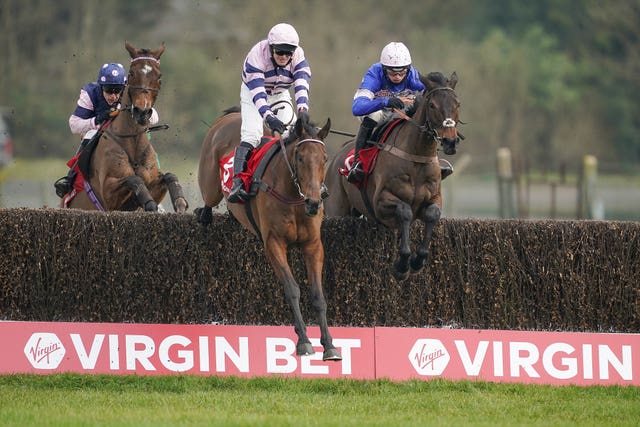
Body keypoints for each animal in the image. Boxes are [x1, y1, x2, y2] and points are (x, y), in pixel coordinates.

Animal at [60, 41, 188, 212]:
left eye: (159, 76)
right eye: (132, 73)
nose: (142, 112)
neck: (131, 141)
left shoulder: (151, 186)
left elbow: (169, 175)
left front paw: (180, 202)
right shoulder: (108, 196)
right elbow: (133, 179)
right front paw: (149, 203)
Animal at [196, 108, 342, 362]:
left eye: (324, 158)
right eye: (300, 157)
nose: (314, 201)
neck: (293, 195)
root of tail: (229, 117)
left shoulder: (313, 245)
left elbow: (318, 295)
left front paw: (329, 345)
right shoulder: (274, 243)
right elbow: (292, 289)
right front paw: (304, 341)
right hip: (211, 186)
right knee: (208, 201)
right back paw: (205, 213)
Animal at [324, 72, 460, 282]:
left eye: (457, 104)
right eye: (432, 105)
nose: (450, 141)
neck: (415, 157)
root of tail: (337, 155)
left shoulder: (434, 197)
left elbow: (432, 214)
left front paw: (418, 261)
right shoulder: (381, 202)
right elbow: (405, 211)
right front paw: (402, 265)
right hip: (336, 210)